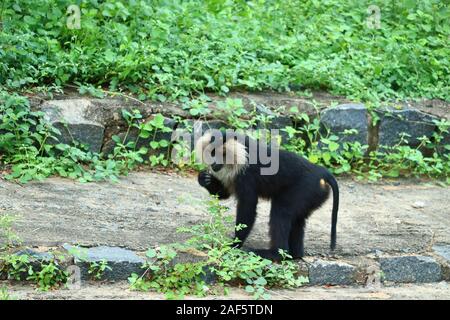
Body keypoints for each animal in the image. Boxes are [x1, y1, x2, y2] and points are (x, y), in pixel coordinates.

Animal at [195, 129, 340, 260]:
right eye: (212, 153)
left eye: (222, 154)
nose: (213, 163)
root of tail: (320, 172)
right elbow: (224, 194)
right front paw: (205, 179)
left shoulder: (246, 176)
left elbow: (247, 208)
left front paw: (234, 245)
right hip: (312, 196)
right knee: (298, 220)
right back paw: (295, 255)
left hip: (304, 189)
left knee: (280, 213)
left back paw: (276, 254)